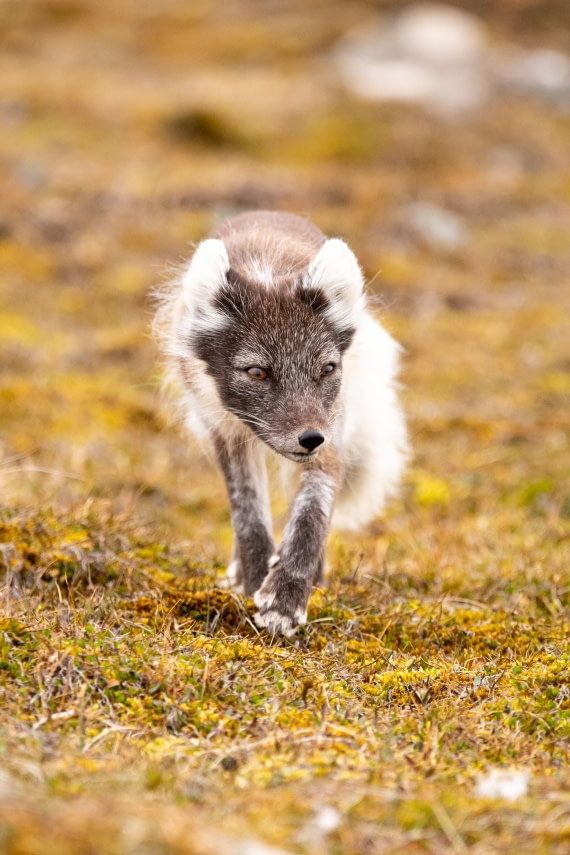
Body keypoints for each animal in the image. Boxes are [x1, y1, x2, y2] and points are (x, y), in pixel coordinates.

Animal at [154, 211, 408, 636]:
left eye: (327, 369)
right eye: (257, 372)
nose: (310, 439)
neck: (267, 267)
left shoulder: (330, 435)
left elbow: (311, 517)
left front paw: (286, 599)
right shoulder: (227, 434)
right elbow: (248, 515)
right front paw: (255, 580)